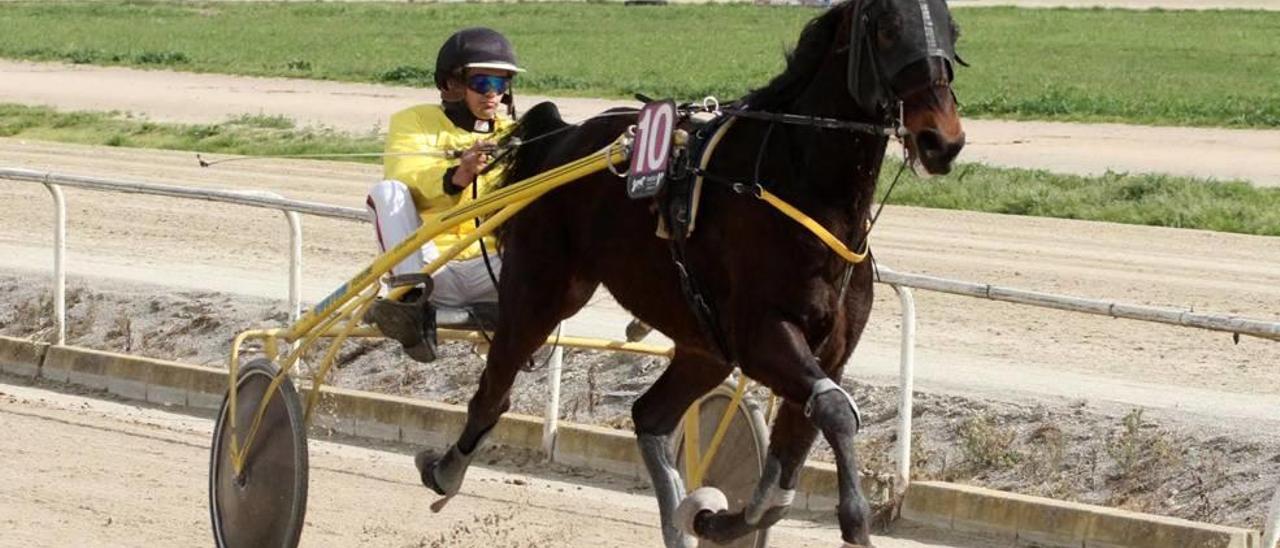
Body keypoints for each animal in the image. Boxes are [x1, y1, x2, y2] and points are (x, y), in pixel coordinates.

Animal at [414, 2, 962, 545]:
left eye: (953, 30)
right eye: (888, 28)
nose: (943, 140)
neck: (802, 188)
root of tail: (561, 137)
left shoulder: (829, 350)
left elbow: (791, 462)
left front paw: (715, 517)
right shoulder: (762, 336)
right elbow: (833, 411)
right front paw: (854, 518)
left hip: (703, 346)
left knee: (648, 414)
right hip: (540, 292)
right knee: (494, 388)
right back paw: (443, 470)